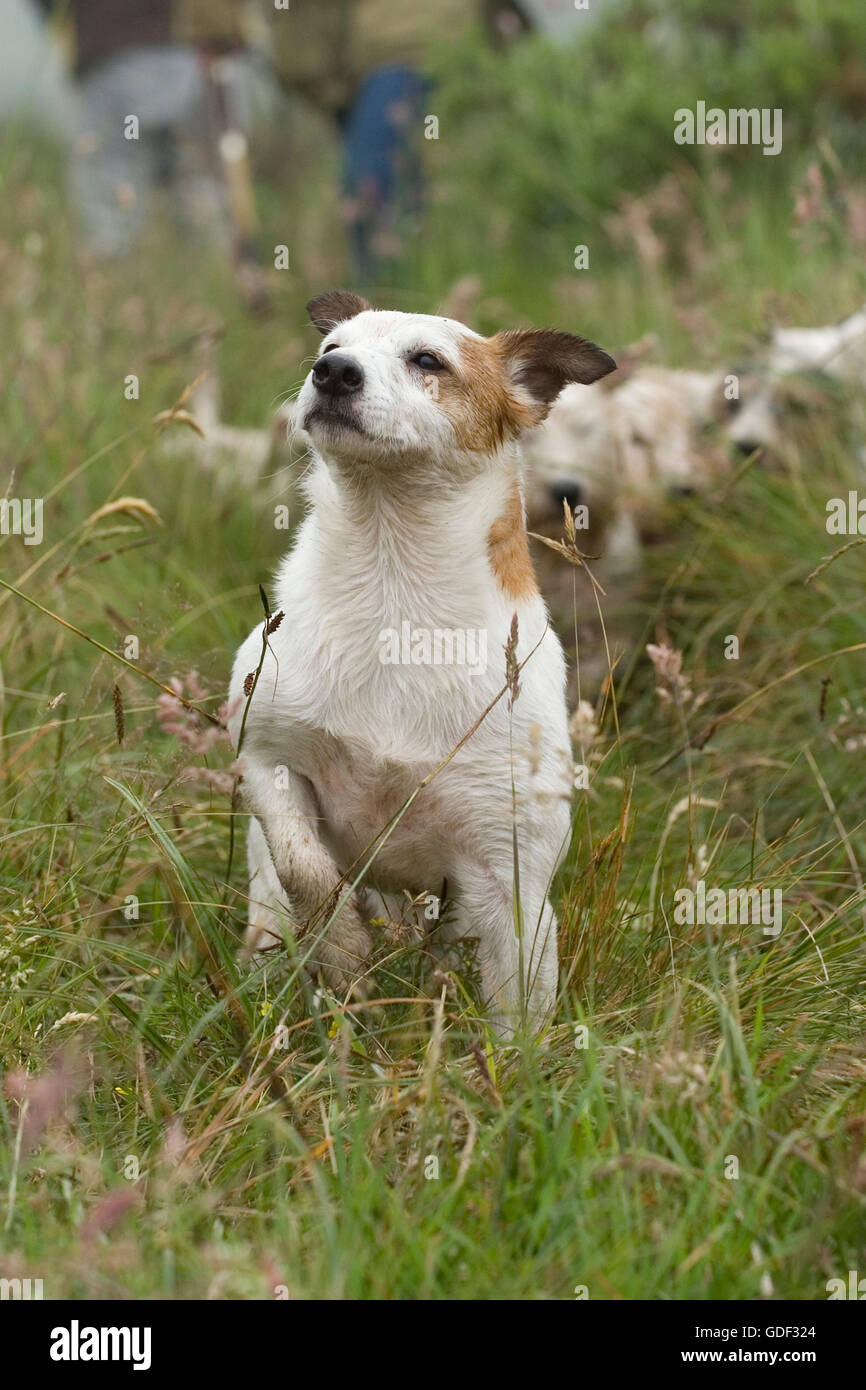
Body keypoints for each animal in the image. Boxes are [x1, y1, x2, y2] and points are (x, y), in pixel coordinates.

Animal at [226, 290, 614, 1034]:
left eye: (428, 360)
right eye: (330, 348)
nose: (333, 373)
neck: (392, 587)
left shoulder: (508, 870)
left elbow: (516, 1013)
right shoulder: (267, 757)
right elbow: (307, 870)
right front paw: (343, 948)